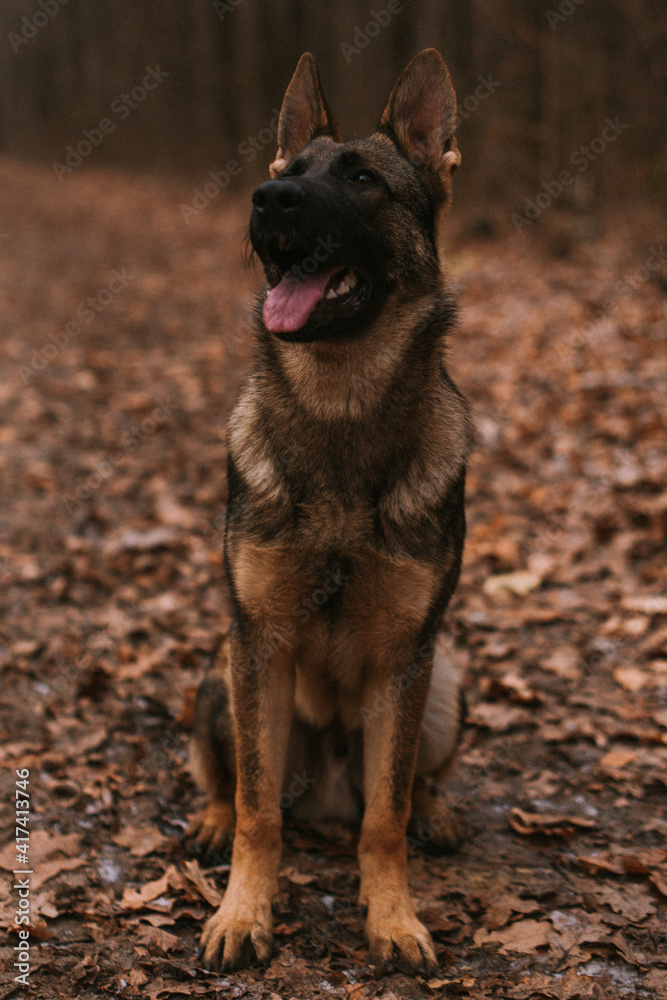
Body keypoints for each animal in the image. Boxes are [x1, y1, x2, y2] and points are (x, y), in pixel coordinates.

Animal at [188, 48, 470, 976]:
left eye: (361, 178)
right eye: (288, 169)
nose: (267, 199)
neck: (340, 406)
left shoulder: (406, 661)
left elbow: (383, 820)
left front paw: (393, 917)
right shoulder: (260, 642)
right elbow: (256, 809)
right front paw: (243, 912)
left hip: (443, 682)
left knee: (408, 784)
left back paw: (436, 811)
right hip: (218, 674)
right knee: (232, 780)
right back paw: (208, 820)